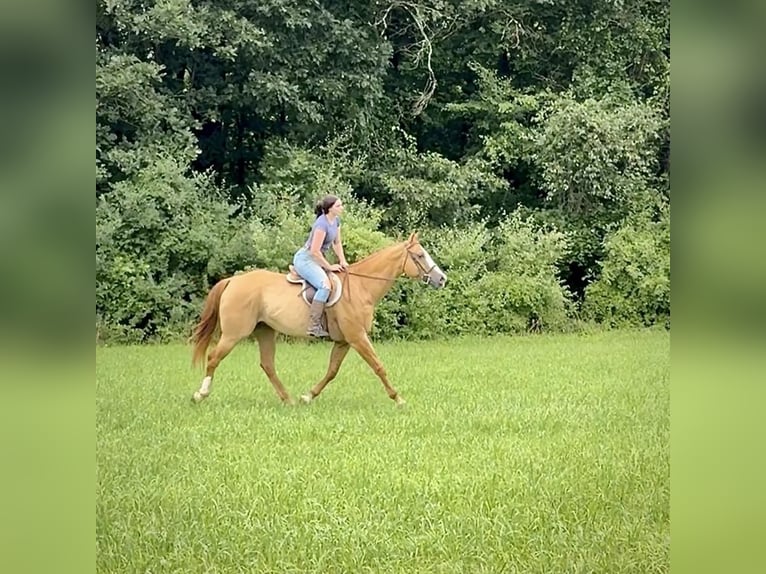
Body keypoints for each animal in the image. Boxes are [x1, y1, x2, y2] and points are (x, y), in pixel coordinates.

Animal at [188, 233, 448, 404]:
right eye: (420, 255)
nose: (442, 279)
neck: (361, 287)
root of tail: (232, 280)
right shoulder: (357, 337)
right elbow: (378, 365)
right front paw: (398, 398)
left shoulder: (344, 341)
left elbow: (332, 371)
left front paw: (308, 396)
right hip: (234, 334)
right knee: (213, 358)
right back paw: (200, 394)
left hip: (265, 331)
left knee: (267, 364)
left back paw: (289, 399)